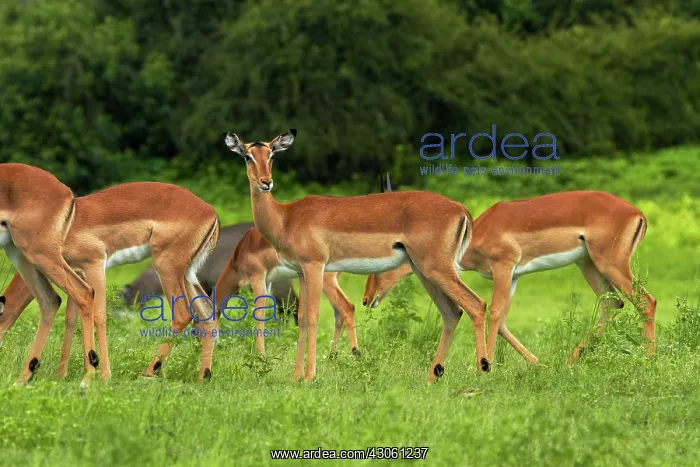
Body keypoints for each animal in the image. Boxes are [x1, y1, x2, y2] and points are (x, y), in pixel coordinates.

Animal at [0, 163, 97, 386]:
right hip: (21, 253)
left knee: (84, 292)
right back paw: (22, 380)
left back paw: (87, 380)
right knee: (50, 301)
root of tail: (66, 192)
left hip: (38, 253)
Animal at [0, 181, 220, 382]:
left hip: (167, 269)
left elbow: (99, 316)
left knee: (183, 314)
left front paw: (101, 377)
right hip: (187, 275)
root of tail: (212, 213)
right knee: (208, 313)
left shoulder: (95, 265)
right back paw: (203, 377)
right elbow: (71, 319)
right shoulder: (78, 273)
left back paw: (148, 373)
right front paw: (61, 375)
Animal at [213, 226, 358, 356]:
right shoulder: (267, 282)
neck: (242, 250)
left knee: (347, 307)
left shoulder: (257, 278)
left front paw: (260, 356)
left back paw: (355, 353)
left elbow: (258, 314)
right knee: (338, 313)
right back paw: (331, 356)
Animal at [363, 190, 657, 364]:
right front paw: (537, 364)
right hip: (588, 265)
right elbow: (503, 320)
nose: (366, 299)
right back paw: (570, 360)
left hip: (610, 264)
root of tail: (638, 214)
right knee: (613, 304)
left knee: (646, 302)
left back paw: (649, 359)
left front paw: (488, 365)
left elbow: (493, 312)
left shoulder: (503, 267)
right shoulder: (514, 276)